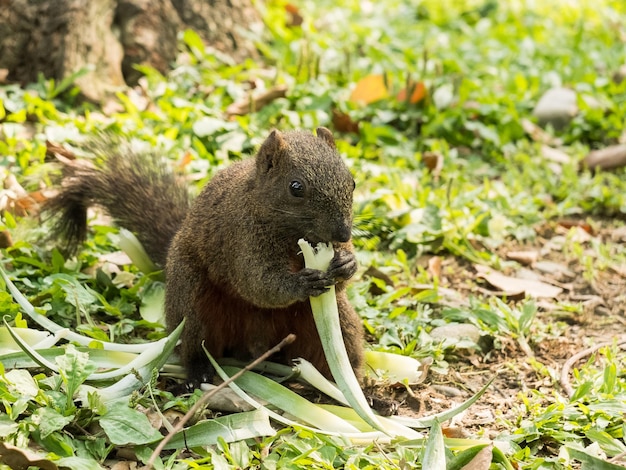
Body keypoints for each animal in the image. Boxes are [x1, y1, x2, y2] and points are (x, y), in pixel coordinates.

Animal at [46, 126, 364, 388]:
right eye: (296, 187)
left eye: (352, 182)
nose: (343, 232)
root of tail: (255, 343)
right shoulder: (241, 238)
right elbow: (258, 282)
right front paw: (302, 283)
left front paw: (348, 263)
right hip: (191, 301)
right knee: (193, 345)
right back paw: (198, 373)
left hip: (335, 322)